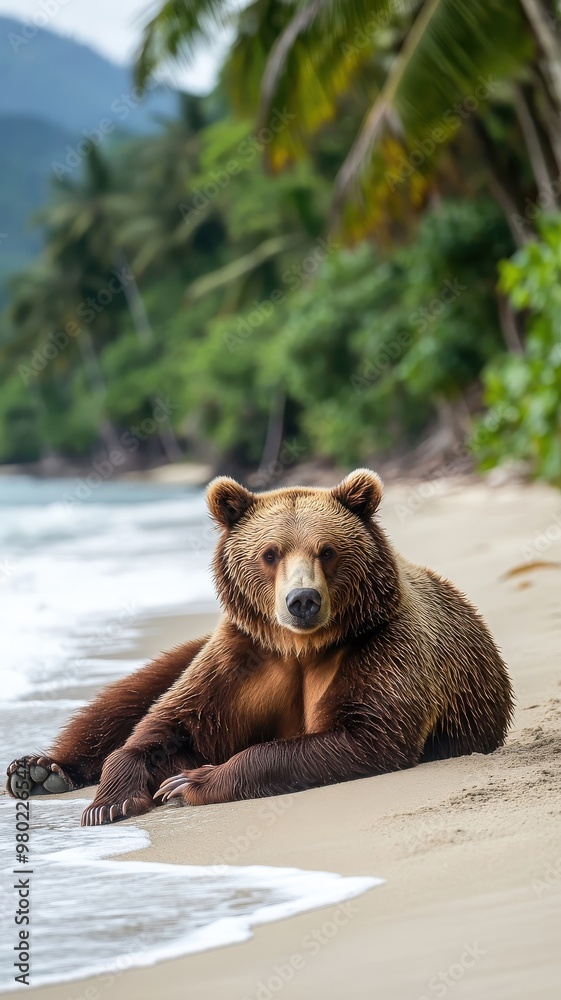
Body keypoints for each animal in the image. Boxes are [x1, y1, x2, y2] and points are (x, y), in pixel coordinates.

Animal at [6, 468, 513, 826]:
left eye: (326, 550)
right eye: (270, 553)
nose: (302, 600)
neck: (301, 648)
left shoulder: (382, 647)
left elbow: (362, 733)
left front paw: (190, 781)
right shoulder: (242, 657)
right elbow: (172, 724)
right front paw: (110, 801)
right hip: (186, 652)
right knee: (122, 698)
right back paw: (38, 771)